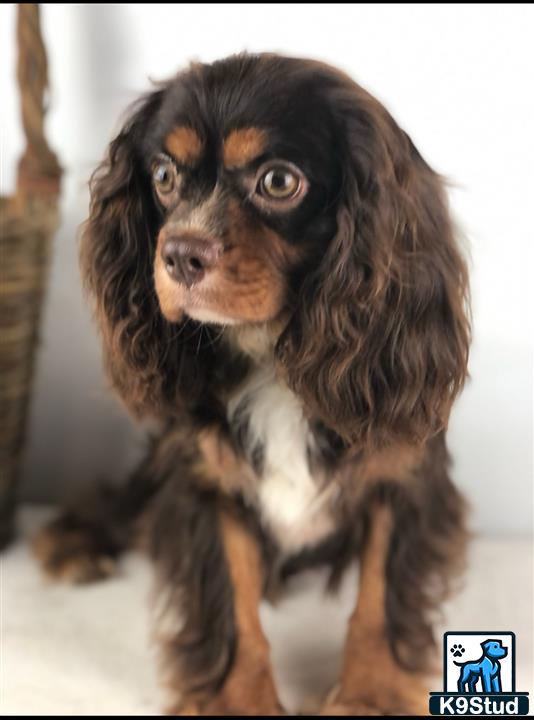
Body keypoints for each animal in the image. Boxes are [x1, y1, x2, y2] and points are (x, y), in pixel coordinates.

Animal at [31, 52, 472, 716]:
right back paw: (76, 544)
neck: (270, 357)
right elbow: (231, 599)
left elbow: (379, 591)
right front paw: (236, 701)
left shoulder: (405, 468)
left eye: (279, 182)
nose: (179, 253)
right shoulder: (202, 475)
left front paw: (373, 694)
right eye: (163, 175)